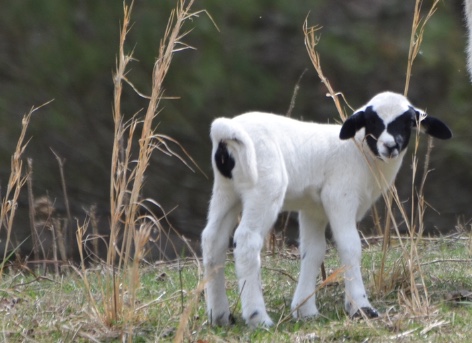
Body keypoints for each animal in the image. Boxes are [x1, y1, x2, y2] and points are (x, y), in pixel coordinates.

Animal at [201, 91, 452, 328]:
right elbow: (350, 246)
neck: (360, 153)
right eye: (372, 121)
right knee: (247, 240)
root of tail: (226, 130)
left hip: (226, 191)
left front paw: (305, 310)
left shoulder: (314, 209)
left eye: (409, 121)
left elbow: (314, 251)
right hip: (264, 187)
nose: (391, 146)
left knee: (213, 239)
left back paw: (220, 316)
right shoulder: (340, 197)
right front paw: (360, 307)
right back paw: (258, 318)